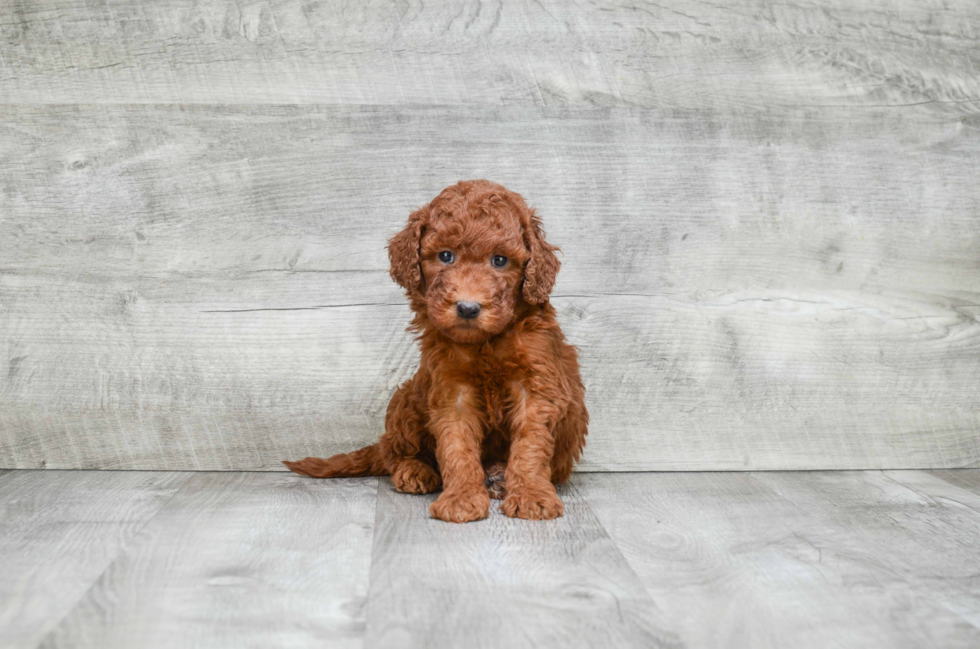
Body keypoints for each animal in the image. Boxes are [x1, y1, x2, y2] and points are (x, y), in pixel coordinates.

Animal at [286, 178, 588, 520]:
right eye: (445, 256)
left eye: (500, 260)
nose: (468, 308)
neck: (485, 343)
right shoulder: (451, 388)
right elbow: (456, 446)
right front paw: (461, 498)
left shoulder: (535, 387)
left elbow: (530, 445)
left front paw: (530, 495)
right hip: (406, 399)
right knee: (392, 451)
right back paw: (415, 471)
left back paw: (496, 475)